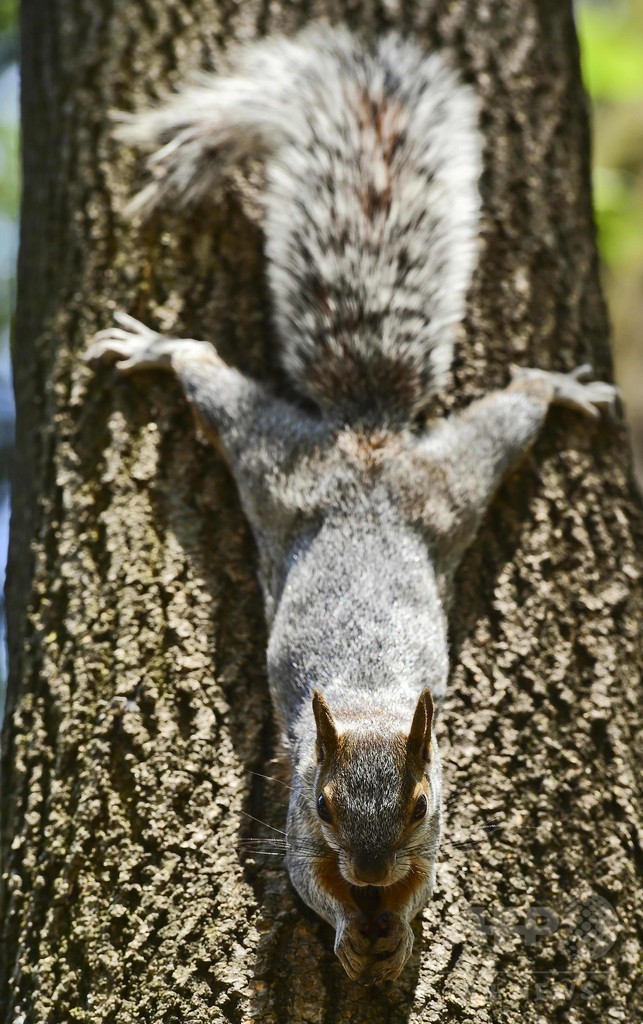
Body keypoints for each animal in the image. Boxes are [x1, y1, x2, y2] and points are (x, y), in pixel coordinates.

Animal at [82, 24, 614, 983]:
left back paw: (559, 387)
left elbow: (421, 883)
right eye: (329, 807)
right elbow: (306, 882)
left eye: (416, 803)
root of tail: (365, 444)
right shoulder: (293, 815)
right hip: (275, 466)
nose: (368, 869)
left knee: (514, 405)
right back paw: (158, 347)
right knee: (209, 374)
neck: (368, 700)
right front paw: (347, 923)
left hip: (445, 482)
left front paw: (391, 926)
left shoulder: (435, 821)